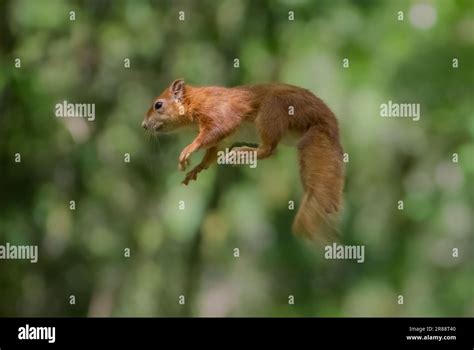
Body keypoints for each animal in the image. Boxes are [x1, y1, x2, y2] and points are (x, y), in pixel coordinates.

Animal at [141, 79, 344, 241]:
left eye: (158, 105)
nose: (143, 125)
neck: (196, 100)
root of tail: (327, 125)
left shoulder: (218, 110)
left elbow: (217, 128)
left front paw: (189, 149)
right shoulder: (224, 140)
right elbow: (213, 152)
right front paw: (197, 168)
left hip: (274, 110)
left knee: (269, 149)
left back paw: (242, 153)